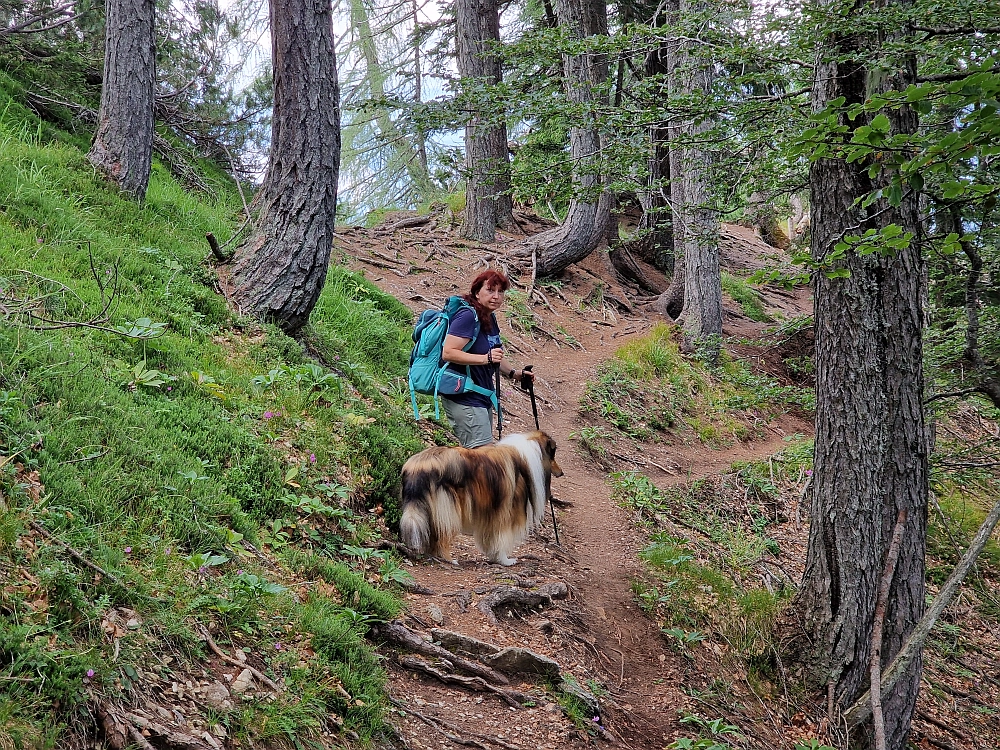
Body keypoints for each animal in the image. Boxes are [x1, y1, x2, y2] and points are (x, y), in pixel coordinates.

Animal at [402, 432, 568, 568]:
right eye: (553, 454)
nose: (562, 473)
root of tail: (419, 466)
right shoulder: (504, 511)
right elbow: (500, 537)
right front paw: (505, 560)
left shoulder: (491, 512)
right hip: (448, 507)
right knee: (441, 536)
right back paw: (447, 559)